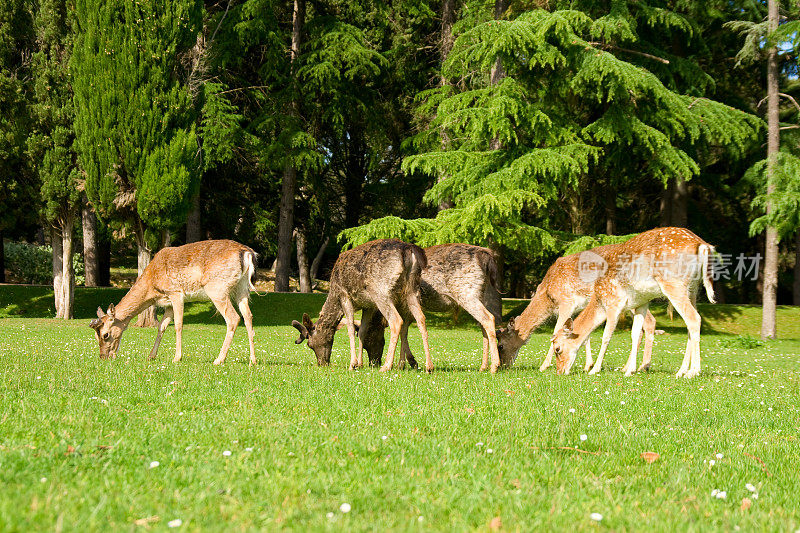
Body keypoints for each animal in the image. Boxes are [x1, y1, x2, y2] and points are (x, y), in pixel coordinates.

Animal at [90, 241, 260, 366]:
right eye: (96, 336)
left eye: (105, 334)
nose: (103, 357)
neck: (152, 285)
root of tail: (247, 253)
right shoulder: (168, 304)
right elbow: (161, 327)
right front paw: (151, 356)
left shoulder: (175, 292)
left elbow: (178, 325)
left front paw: (177, 358)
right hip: (242, 288)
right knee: (248, 316)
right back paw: (253, 361)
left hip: (217, 289)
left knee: (233, 318)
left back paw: (218, 360)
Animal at [292, 239, 434, 372]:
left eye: (310, 344)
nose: (322, 363)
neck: (333, 293)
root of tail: (408, 250)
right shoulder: (368, 305)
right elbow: (362, 331)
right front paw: (360, 364)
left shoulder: (344, 296)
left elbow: (350, 328)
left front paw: (353, 364)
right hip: (411, 290)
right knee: (421, 318)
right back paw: (429, 366)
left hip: (381, 291)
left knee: (396, 320)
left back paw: (387, 366)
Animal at [348, 243, 506, 372]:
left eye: (370, 338)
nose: (374, 362)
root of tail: (485, 256)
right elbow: (404, 330)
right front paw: (406, 363)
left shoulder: (403, 305)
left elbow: (402, 330)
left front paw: (405, 363)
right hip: (479, 294)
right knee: (482, 325)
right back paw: (483, 366)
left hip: (467, 293)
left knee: (488, 318)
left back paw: (494, 366)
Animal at [496, 243, 660, 372]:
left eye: (501, 346)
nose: (503, 366)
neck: (548, 294)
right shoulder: (580, 307)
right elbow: (585, 335)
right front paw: (588, 365)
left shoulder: (566, 302)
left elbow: (556, 330)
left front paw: (543, 366)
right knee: (644, 325)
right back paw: (630, 367)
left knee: (649, 322)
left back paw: (643, 366)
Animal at [552, 227, 716, 376]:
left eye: (557, 349)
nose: (560, 371)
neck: (599, 299)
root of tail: (703, 245)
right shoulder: (642, 302)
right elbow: (635, 333)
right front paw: (630, 370)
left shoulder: (613, 303)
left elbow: (606, 336)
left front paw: (594, 369)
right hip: (693, 288)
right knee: (690, 323)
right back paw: (681, 371)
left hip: (674, 284)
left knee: (694, 318)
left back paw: (693, 371)